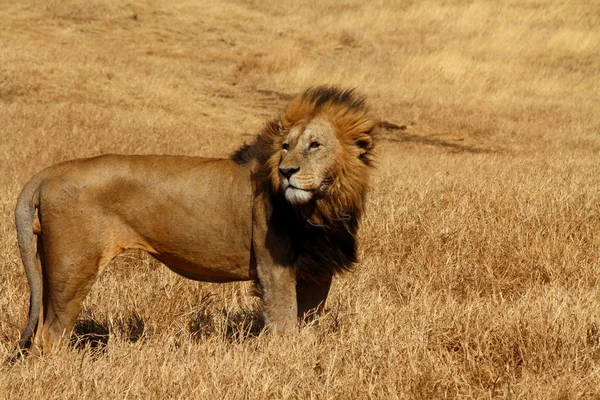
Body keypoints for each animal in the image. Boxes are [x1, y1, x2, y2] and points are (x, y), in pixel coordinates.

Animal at [15, 85, 376, 354]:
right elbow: (284, 325)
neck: (323, 206)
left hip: (50, 265)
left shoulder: (318, 272)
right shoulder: (275, 269)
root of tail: (48, 174)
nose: (287, 171)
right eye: (285, 147)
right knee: (51, 334)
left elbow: (308, 322)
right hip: (74, 267)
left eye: (315, 145)